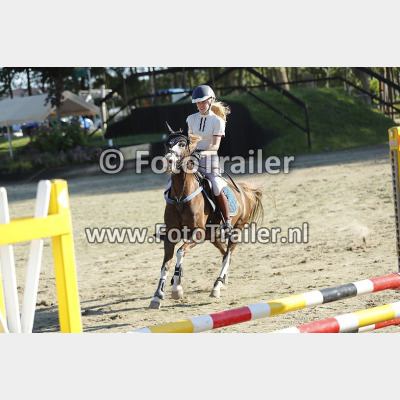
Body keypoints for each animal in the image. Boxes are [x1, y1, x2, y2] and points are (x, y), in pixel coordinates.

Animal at [149, 123, 264, 309]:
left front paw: (176, 287)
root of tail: (243, 190)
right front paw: (158, 296)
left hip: (236, 230)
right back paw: (223, 281)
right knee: (225, 254)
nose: (168, 161)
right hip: (214, 236)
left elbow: (180, 252)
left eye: (182, 144)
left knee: (228, 254)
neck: (180, 196)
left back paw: (216, 287)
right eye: (167, 144)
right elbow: (165, 265)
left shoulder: (198, 234)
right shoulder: (171, 236)